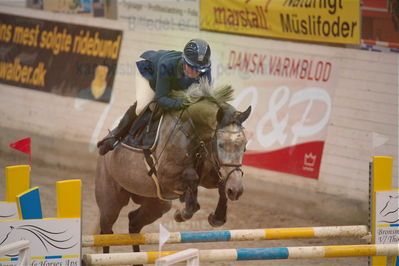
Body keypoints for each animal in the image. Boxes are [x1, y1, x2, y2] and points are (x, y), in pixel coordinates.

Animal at [95, 82, 252, 258]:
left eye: (244, 146)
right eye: (220, 144)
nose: (236, 191)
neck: (192, 131)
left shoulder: (211, 174)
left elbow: (221, 182)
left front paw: (217, 217)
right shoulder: (165, 176)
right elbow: (192, 176)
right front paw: (184, 211)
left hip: (157, 204)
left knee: (133, 222)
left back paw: (138, 258)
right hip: (111, 202)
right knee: (106, 231)